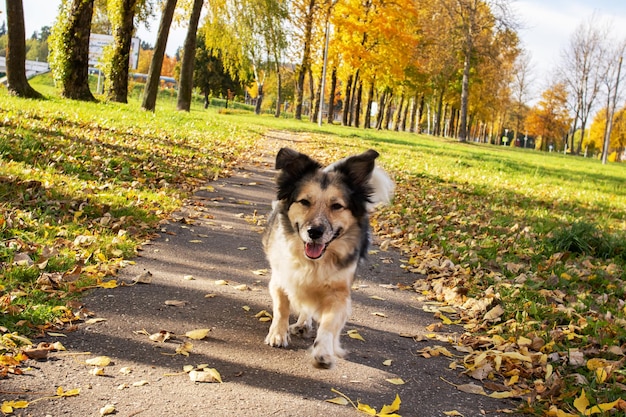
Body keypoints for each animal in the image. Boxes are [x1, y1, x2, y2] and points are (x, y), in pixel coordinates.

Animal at [260, 147, 392, 368]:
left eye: (337, 206)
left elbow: (329, 325)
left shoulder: (339, 293)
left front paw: (323, 351)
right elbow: (281, 307)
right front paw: (277, 334)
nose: (315, 232)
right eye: (304, 202)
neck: (314, 263)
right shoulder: (281, 277)